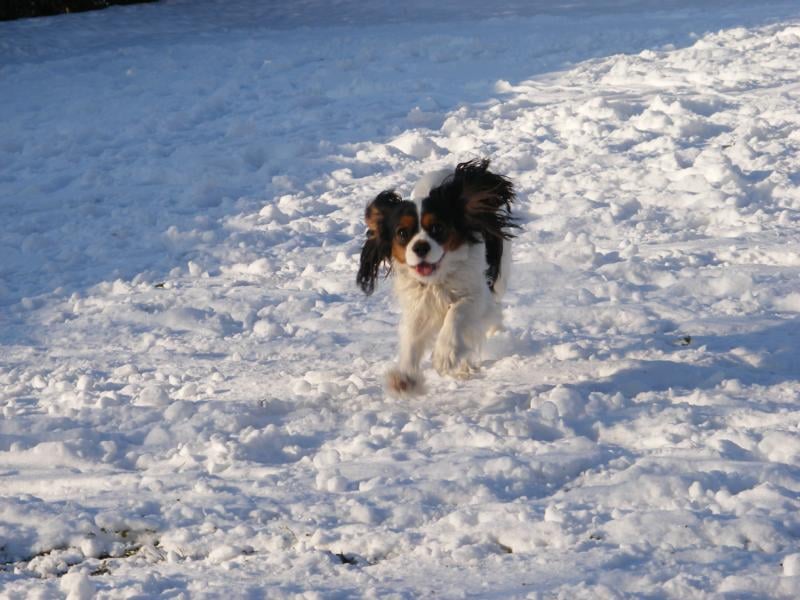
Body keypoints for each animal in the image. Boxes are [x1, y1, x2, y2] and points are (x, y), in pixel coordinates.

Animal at [358, 157, 520, 396]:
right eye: (402, 233)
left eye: (437, 228)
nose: (420, 247)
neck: (437, 279)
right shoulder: (419, 303)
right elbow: (412, 337)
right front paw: (405, 376)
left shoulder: (478, 296)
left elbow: (457, 312)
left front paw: (446, 354)